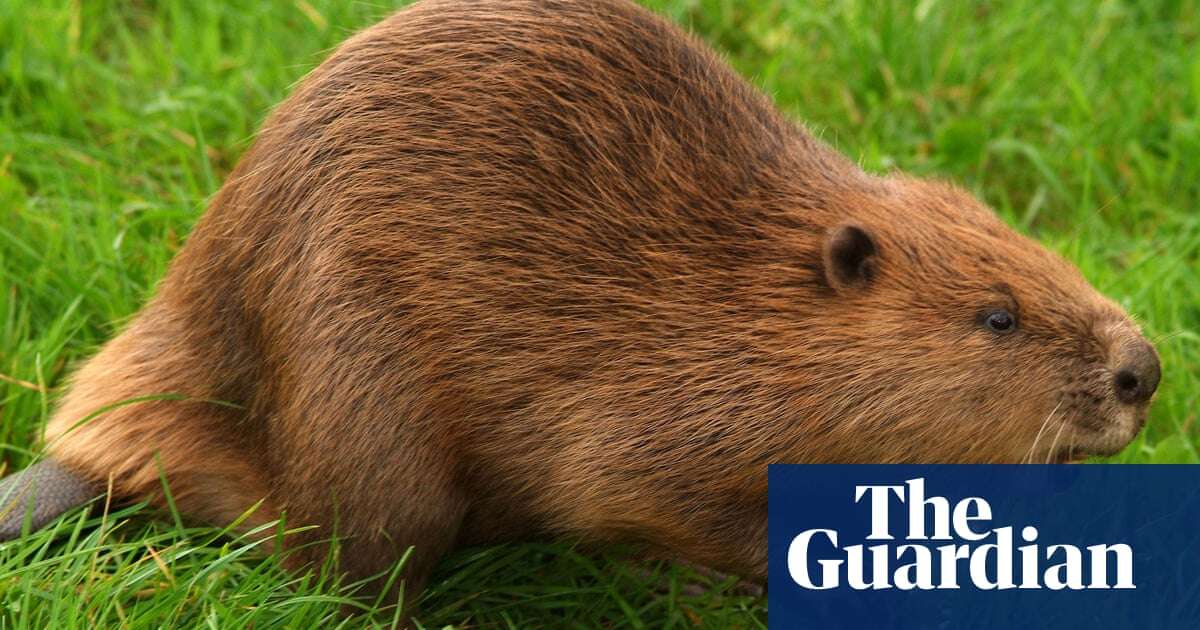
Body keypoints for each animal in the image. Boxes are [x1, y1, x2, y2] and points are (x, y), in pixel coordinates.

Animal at [0, 0, 1161, 604]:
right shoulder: (648, 414)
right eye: (998, 317)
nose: (1142, 370)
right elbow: (628, 494)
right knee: (334, 563)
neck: (747, 303)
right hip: (358, 399)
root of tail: (97, 438)